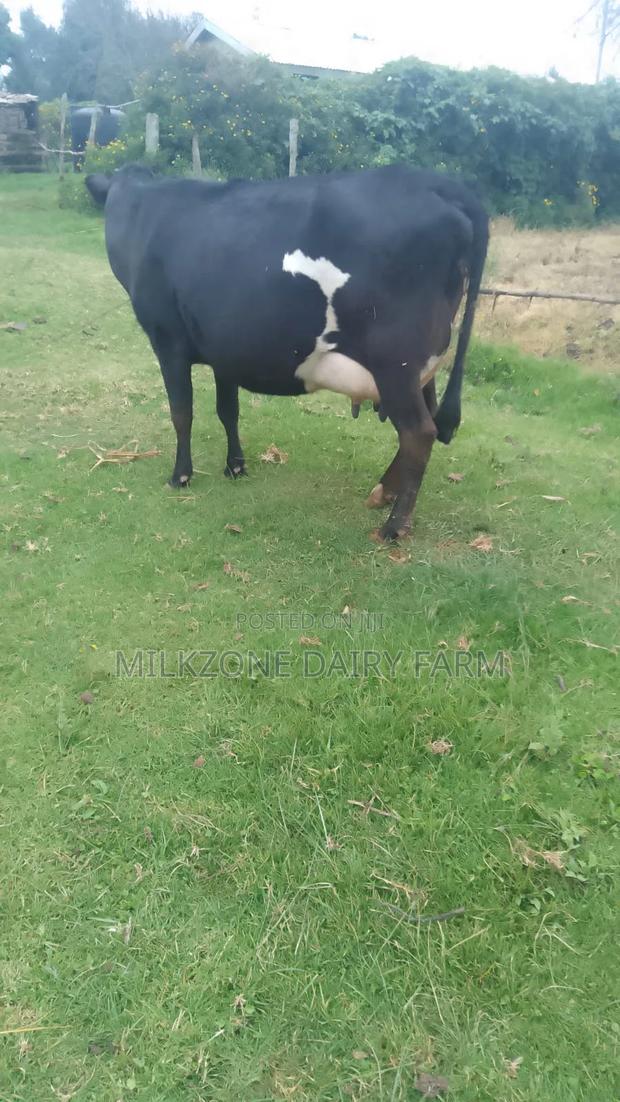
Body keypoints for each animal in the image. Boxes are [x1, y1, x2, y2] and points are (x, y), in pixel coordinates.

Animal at [85, 164, 488, 541]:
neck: (143, 211)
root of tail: (436, 182)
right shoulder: (225, 351)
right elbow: (228, 411)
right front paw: (235, 466)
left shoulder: (167, 341)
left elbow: (182, 413)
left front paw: (180, 475)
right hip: (423, 366)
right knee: (428, 421)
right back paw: (384, 492)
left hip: (395, 363)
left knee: (419, 432)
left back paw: (394, 526)